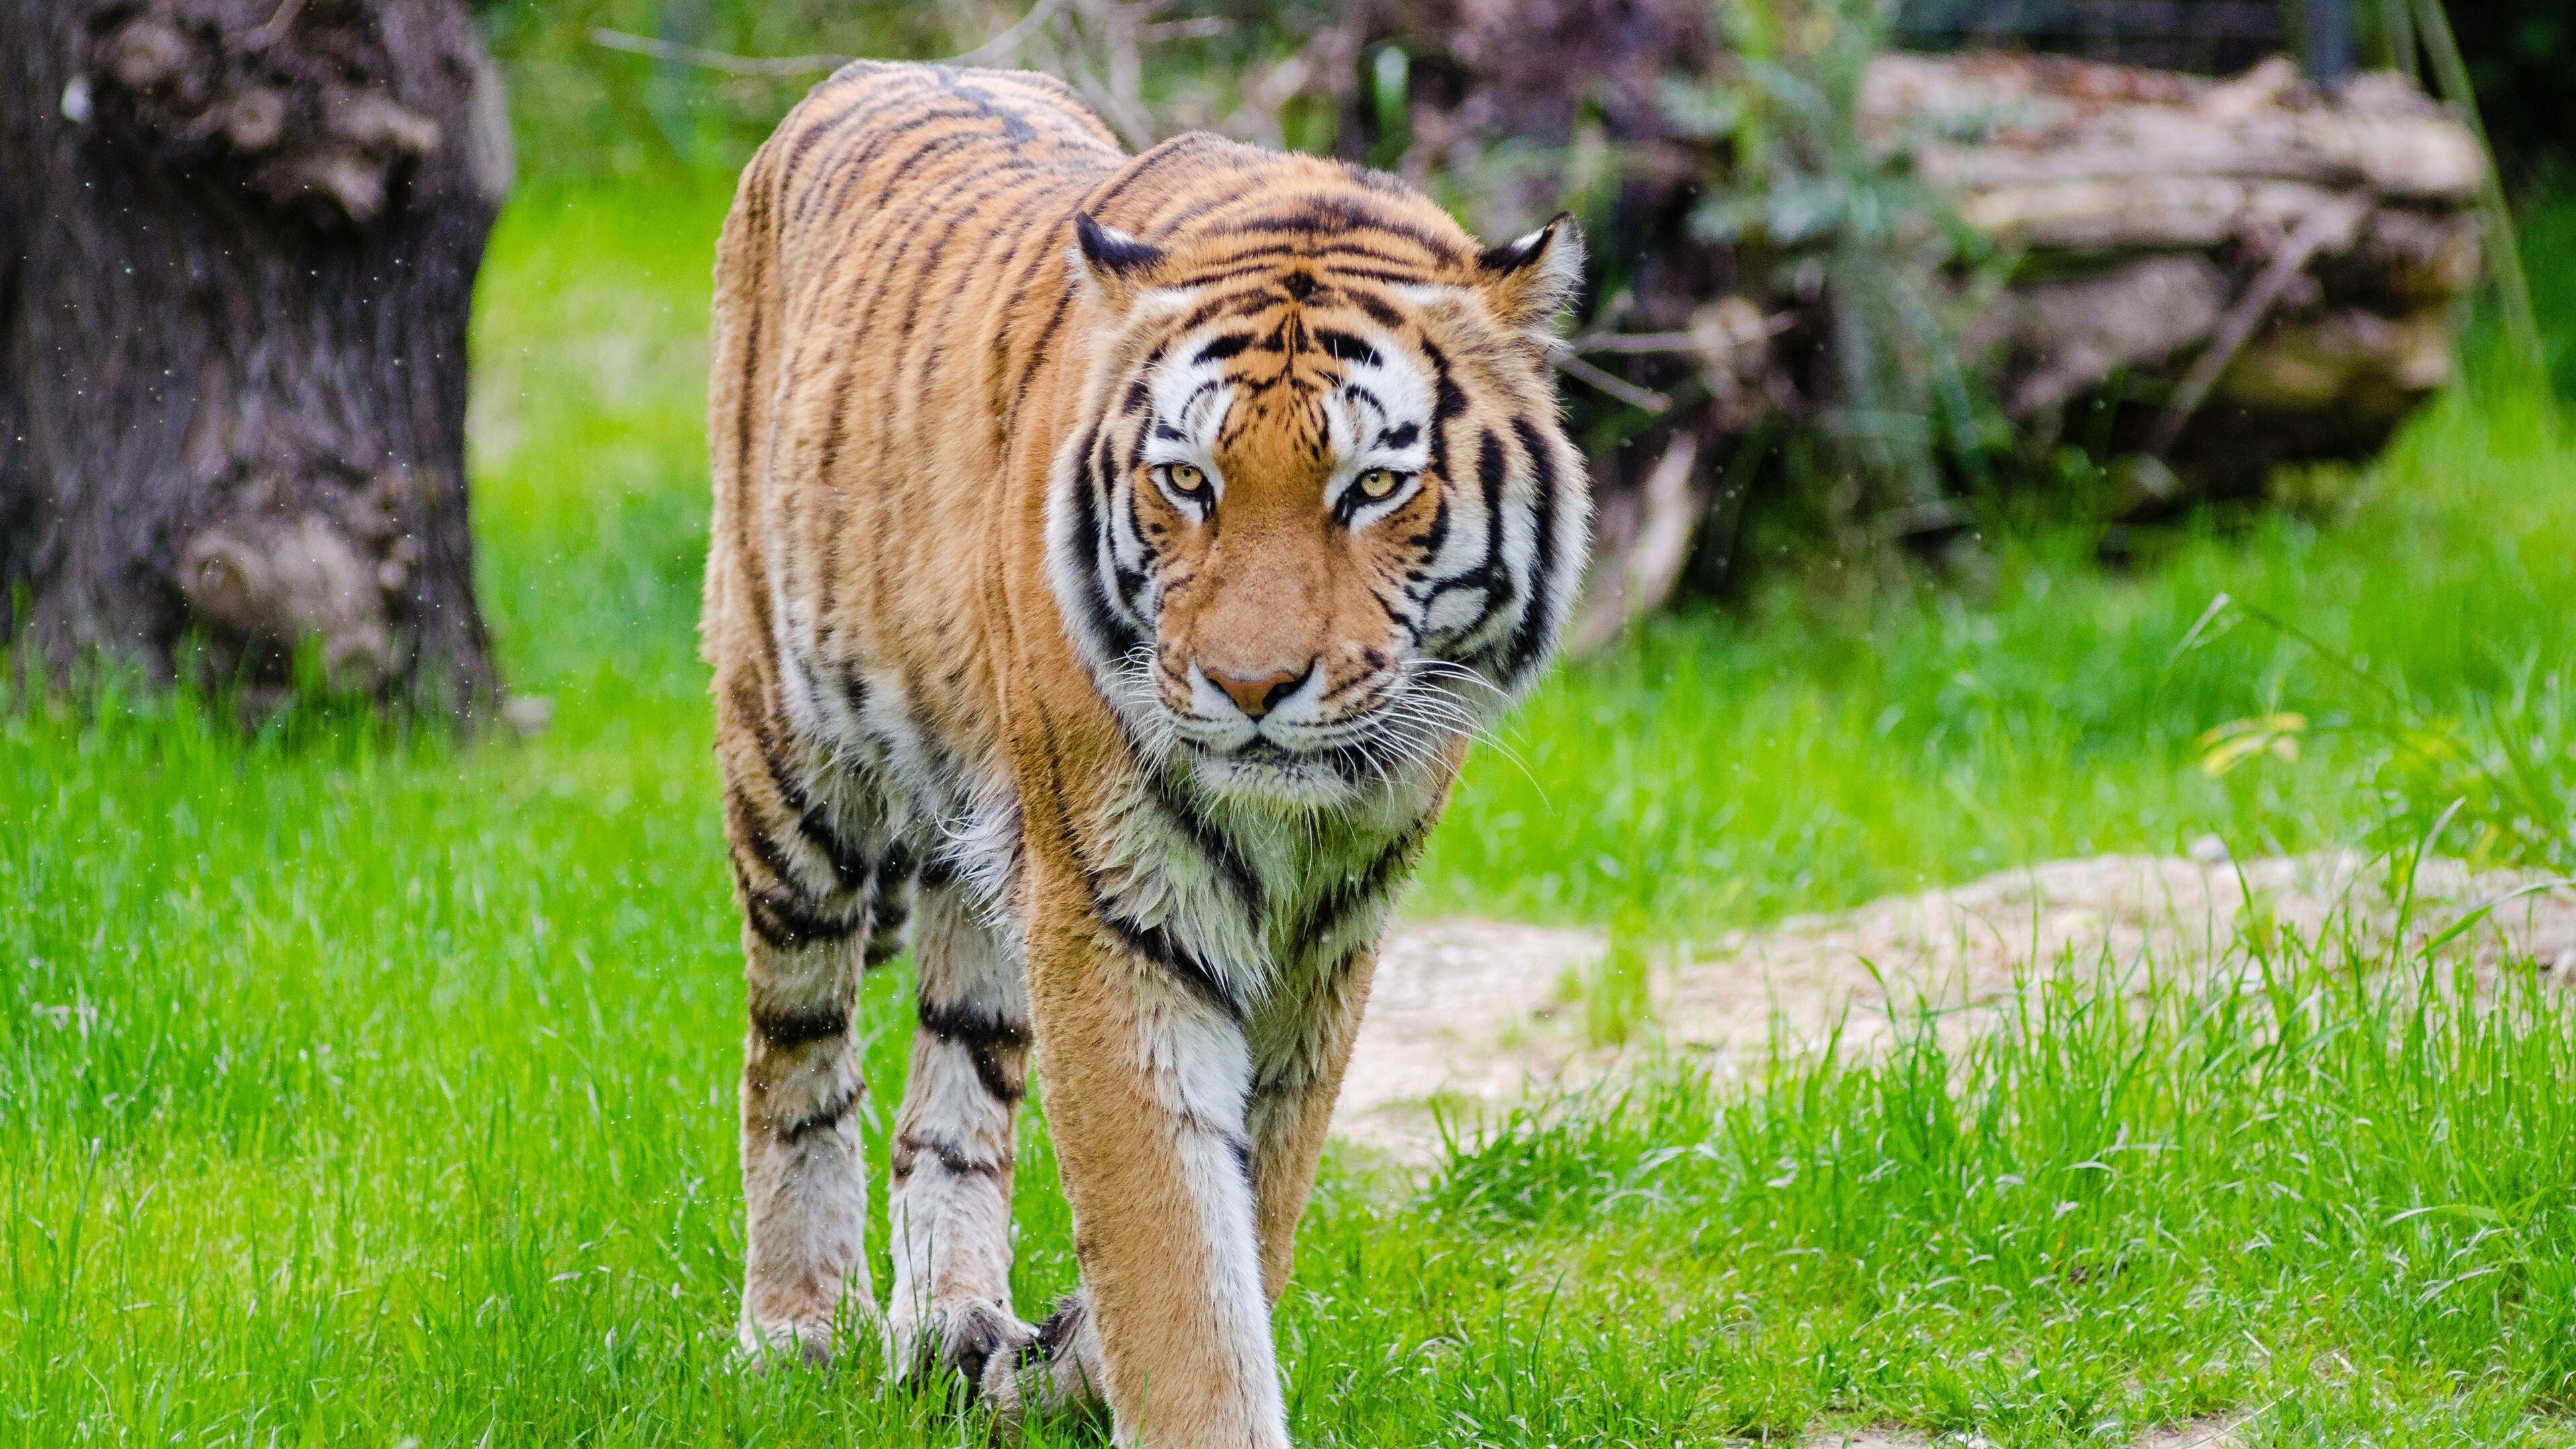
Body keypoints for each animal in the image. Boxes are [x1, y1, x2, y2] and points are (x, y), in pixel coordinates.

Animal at [701, 58, 1586, 1447]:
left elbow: (1247, 1218)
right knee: (794, 1055)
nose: (1250, 686)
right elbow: (1174, 1244)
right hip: (793, 766)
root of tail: (872, 70)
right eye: (1188, 481)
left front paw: (1057, 1363)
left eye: (1372, 489)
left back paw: (951, 1319)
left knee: (954, 1095)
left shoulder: (1326, 942)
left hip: (982, 863)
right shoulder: (1116, 916)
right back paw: (795, 1326)